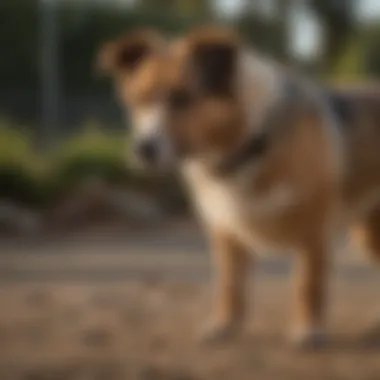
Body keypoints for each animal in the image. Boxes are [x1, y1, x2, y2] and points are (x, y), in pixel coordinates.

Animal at [96, 26, 380, 348]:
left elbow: (308, 285)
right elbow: (230, 287)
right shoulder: (226, 234)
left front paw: (309, 330)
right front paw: (225, 326)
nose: (142, 149)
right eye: (138, 100)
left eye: (182, 98)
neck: (248, 143)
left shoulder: (313, 233)